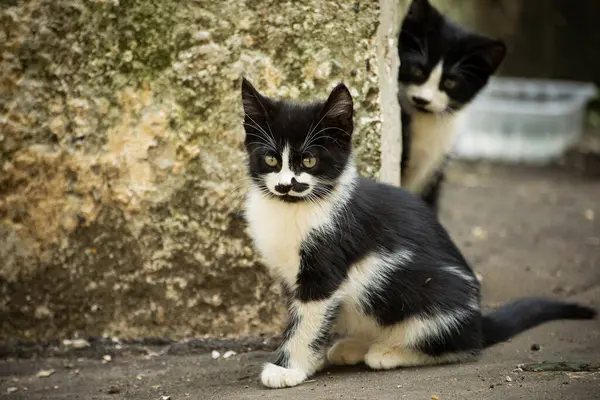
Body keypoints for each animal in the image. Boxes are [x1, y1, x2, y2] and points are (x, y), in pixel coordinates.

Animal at [240, 78, 596, 388]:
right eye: (270, 158)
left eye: (310, 161)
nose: (286, 185)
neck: (297, 207)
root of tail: (477, 319)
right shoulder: (293, 275)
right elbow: (305, 318)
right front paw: (307, 363)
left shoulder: (326, 265)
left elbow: (306, 321)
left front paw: (288, 369)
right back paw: (357, 344)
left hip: (433, 291)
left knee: (461, 344)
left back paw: (390, 351)